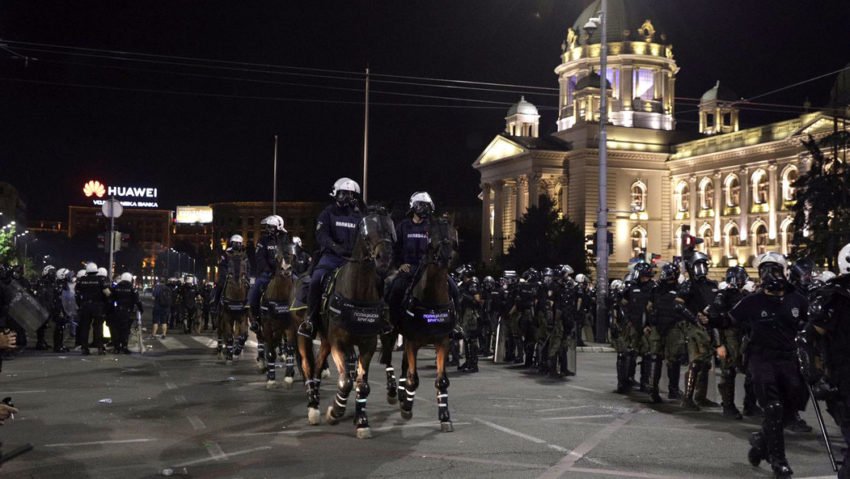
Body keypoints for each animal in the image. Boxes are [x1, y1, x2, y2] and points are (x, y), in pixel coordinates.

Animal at [318, 210, 394, 438]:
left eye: (390, 228)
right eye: (366, 231)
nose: (384, 258)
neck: (358, 291)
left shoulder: (368, 344)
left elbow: (362, 385)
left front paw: (362, 421)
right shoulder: (337, 343)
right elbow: (345, 381)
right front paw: (335, 411)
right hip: (324, 341)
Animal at [390, 219, 458, 434]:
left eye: (452, 236)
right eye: (432, 236)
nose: (445, 257)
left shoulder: (442, 342)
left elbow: (442, 381)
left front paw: (445, 416)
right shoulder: (412, 342)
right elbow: (414, 379)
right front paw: (407, 407)